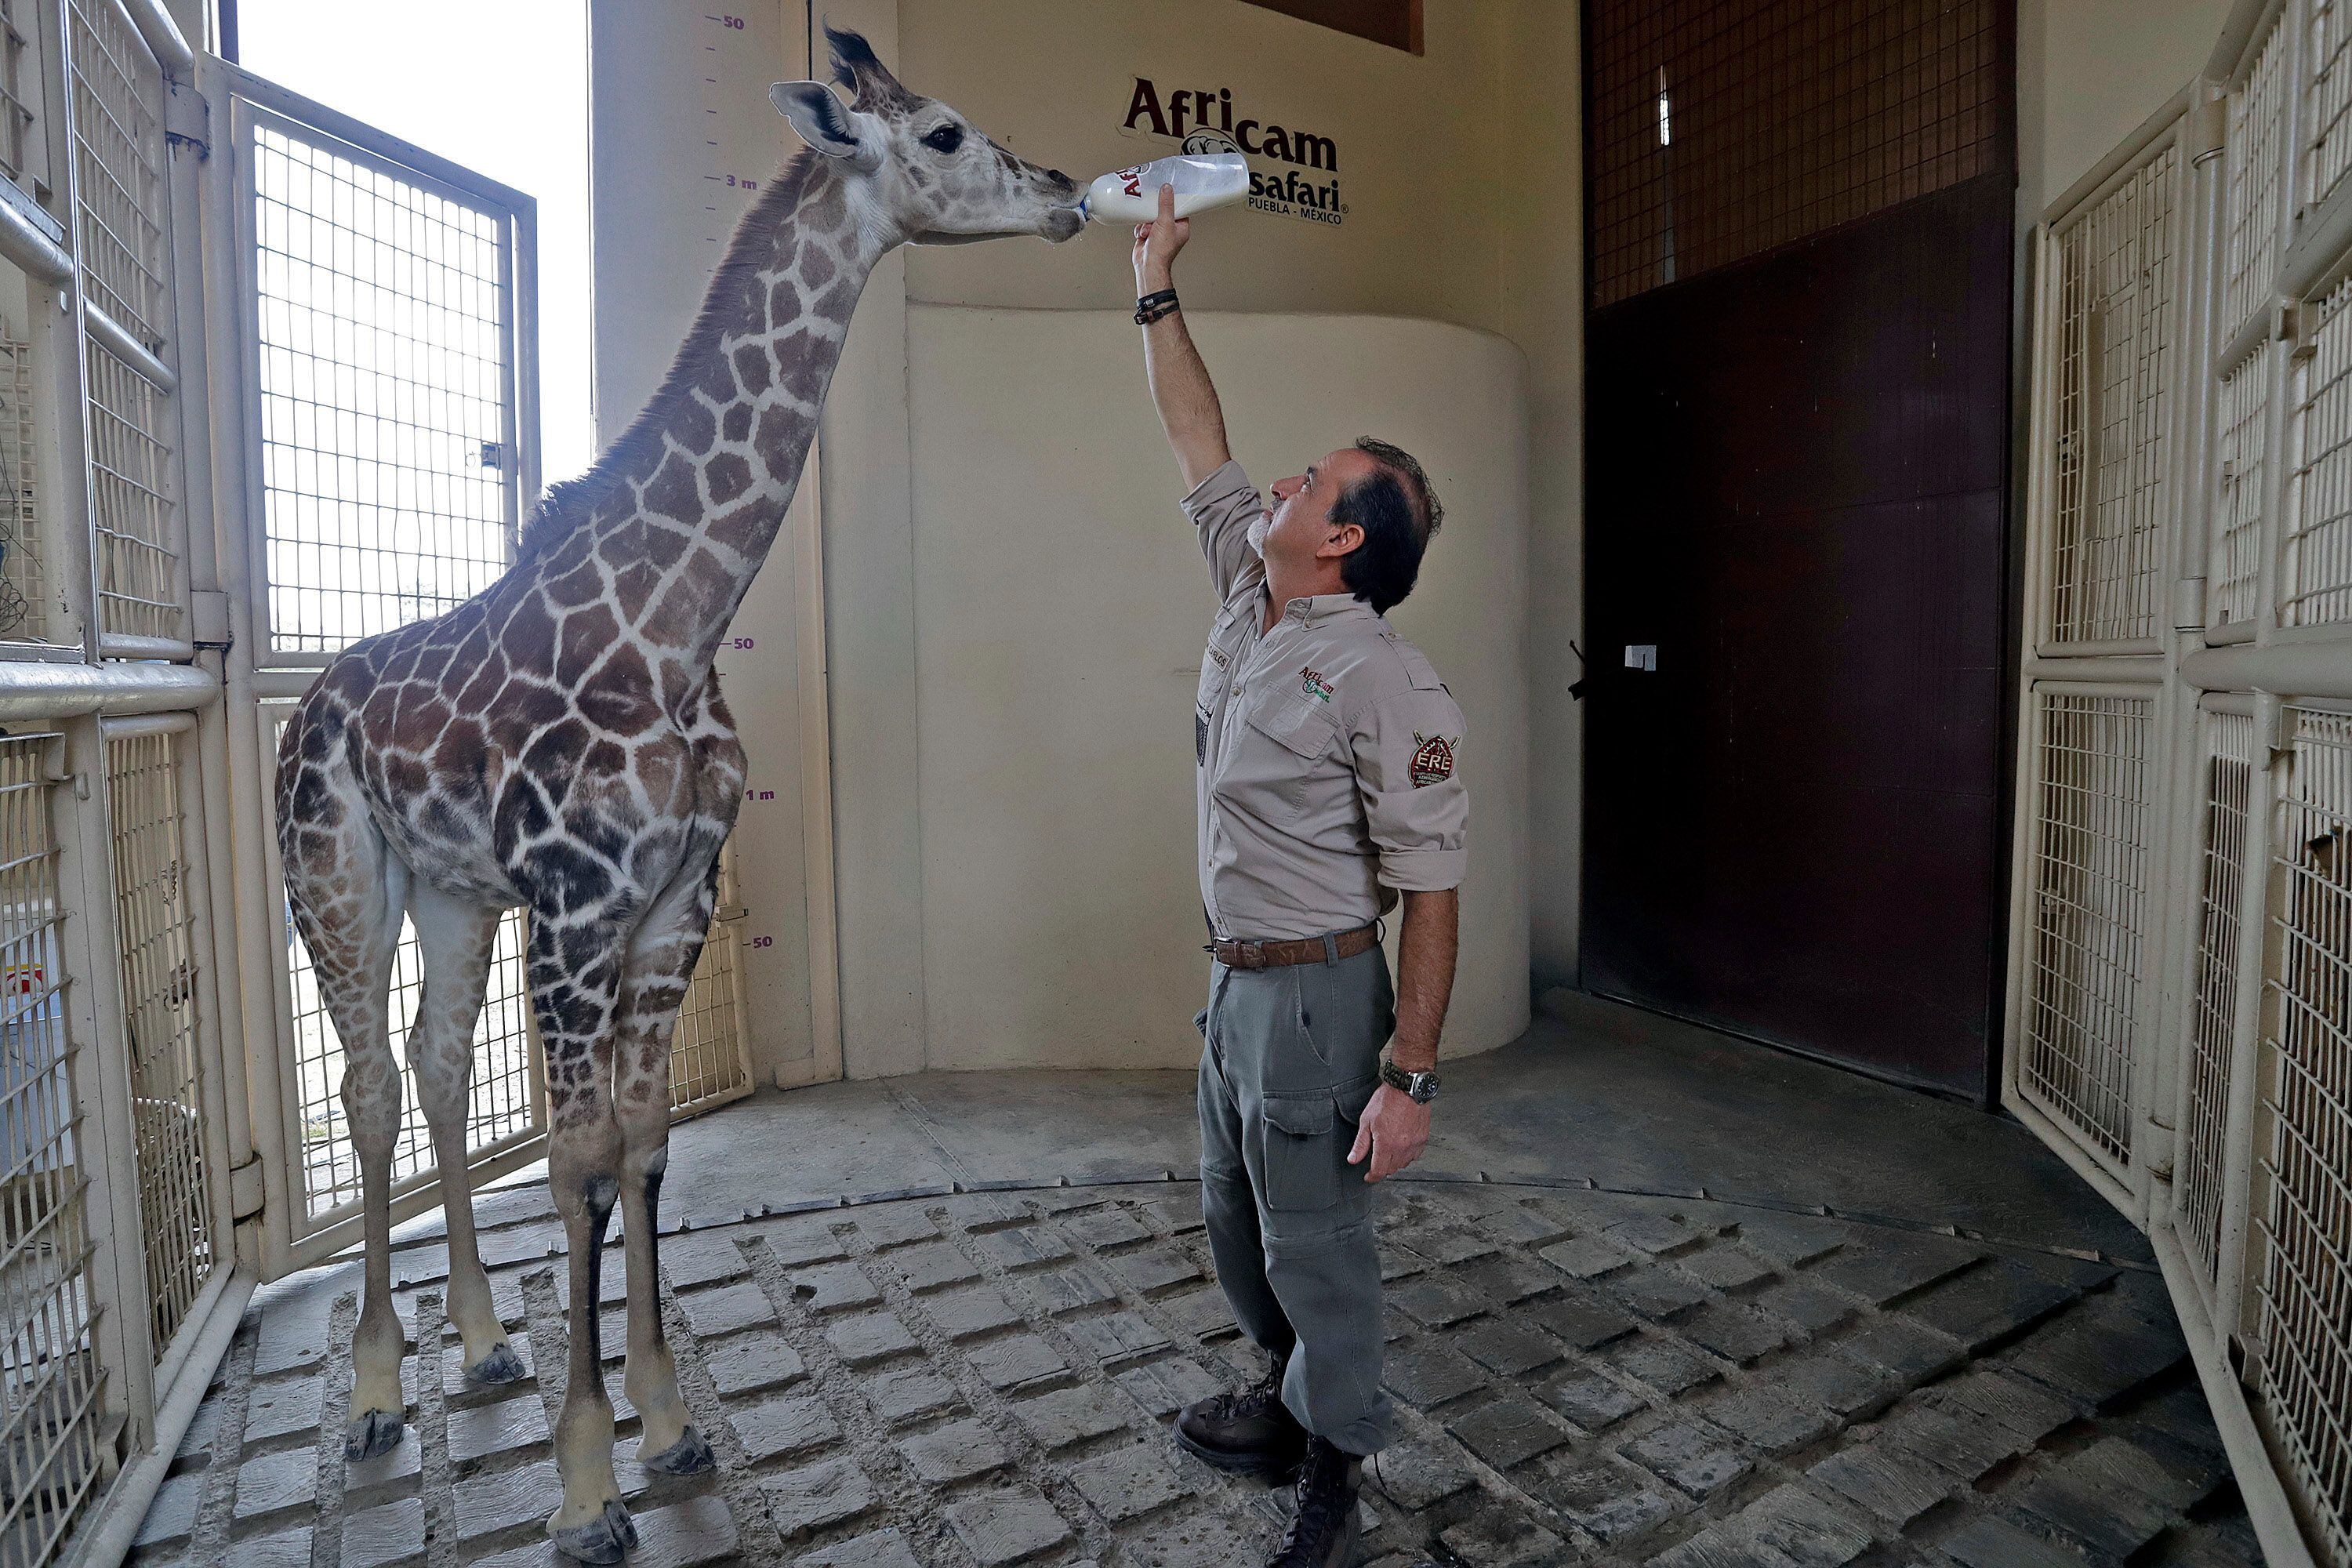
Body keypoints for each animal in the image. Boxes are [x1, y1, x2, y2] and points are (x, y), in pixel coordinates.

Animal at [273, 31, 1077, 1561]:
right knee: (364, 1084)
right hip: (337, 884)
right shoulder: (576, 908)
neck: (678, 621)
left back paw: (483, 1349)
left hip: (453, 895)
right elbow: (577, 1156)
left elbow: (642, 1150)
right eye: (945, 133)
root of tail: (305, 703)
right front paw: (589, 1487)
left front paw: (668, 1420)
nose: (1067, 192)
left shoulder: (669, 904)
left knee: (436, 1063)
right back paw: (375, 1394)